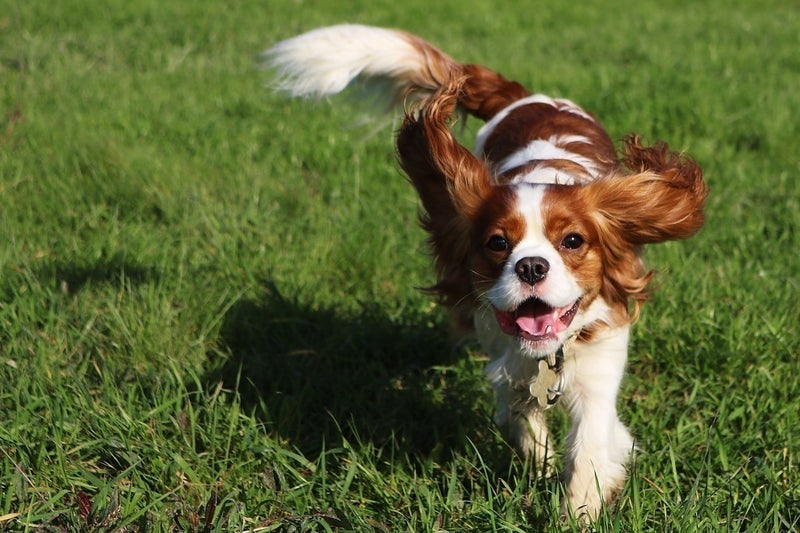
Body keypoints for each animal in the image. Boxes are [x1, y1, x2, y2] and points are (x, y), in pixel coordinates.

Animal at [264, 26, 708, 520]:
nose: (531, 265)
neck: (547, 354)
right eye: (498, 243)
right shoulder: (504, 359)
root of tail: (528, 96)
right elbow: (521, 417)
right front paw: (540, 466)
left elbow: (589, 448)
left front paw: (576, 514)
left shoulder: (600, 364)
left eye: (573, 241)